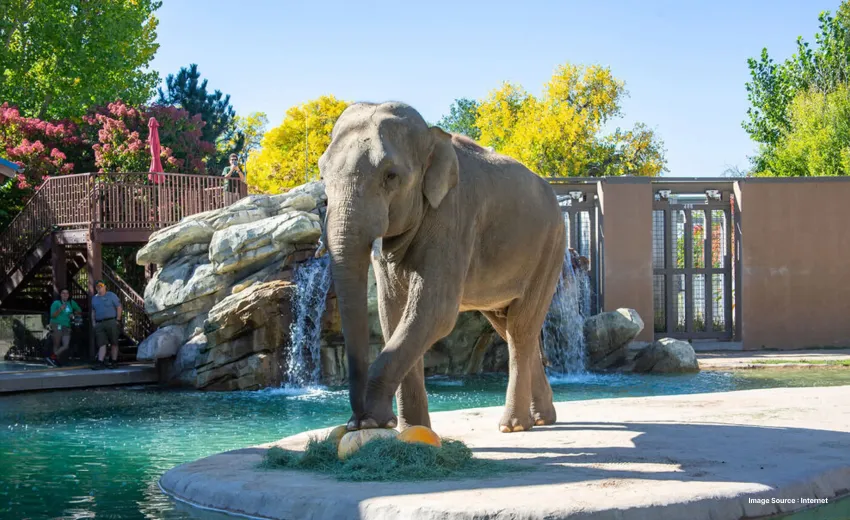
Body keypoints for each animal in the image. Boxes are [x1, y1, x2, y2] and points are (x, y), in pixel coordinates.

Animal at [318, 101, 567, 434]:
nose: (354, 420)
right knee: (508, 327)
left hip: (549, 249)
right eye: (322, 174)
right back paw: (542, 418)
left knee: (520, 328)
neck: (431, 135)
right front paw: (411, 430)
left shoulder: (454, 217)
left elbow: (433, 312)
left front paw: (376, 421)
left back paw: (514, 426)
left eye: (391, 176)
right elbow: (393, 314)